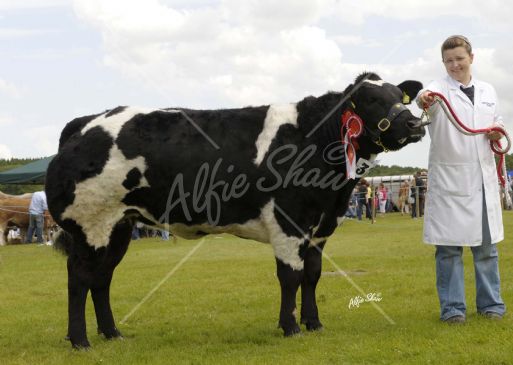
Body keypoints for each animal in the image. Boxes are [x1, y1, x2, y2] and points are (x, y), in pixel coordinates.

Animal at [47, 71, 424, 346]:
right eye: (372, 100)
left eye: (400, 97)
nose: (415, 124)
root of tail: (85, 123)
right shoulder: (288, 222)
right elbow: (291, 277)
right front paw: (290, 327)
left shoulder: (320, 228)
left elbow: (313, 275)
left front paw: (314, 323)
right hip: (90, 225)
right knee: (79, 278)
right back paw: (80, 340)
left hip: (119, 227)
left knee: (101, 279)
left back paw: (112, 334)